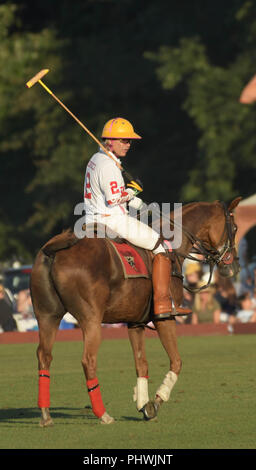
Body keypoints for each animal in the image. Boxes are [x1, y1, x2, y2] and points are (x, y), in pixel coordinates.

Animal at [30, 196, 242, 428]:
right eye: (235, 228)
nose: (234, 268)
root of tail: (54, 250)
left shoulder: (135, 322)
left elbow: (141, 364)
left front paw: (143, 404)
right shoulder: (165, 318)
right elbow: (176, 362)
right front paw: (155, 402)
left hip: (47, 315)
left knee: (44, 355)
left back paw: (45, 414)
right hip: (90, 318)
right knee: (88, 360)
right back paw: (103, 414)